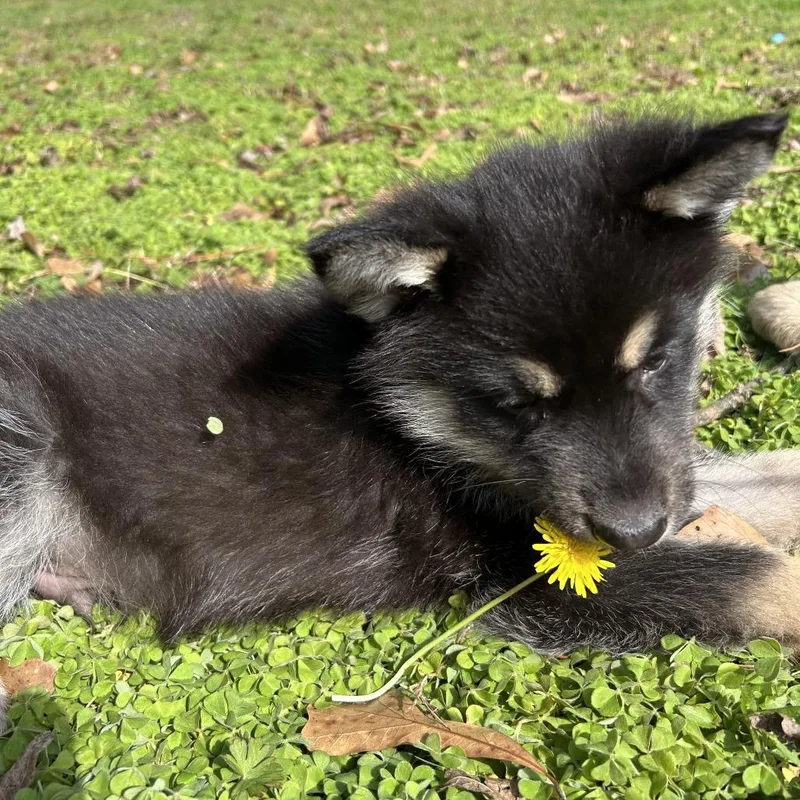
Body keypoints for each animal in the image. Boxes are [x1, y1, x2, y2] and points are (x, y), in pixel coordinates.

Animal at [0, 111, 798, 654]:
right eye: (514, 403)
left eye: (657, 361)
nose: (635, 531)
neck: (408, 421)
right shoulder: (521, 576)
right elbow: (755, 578)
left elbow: (755, 480)